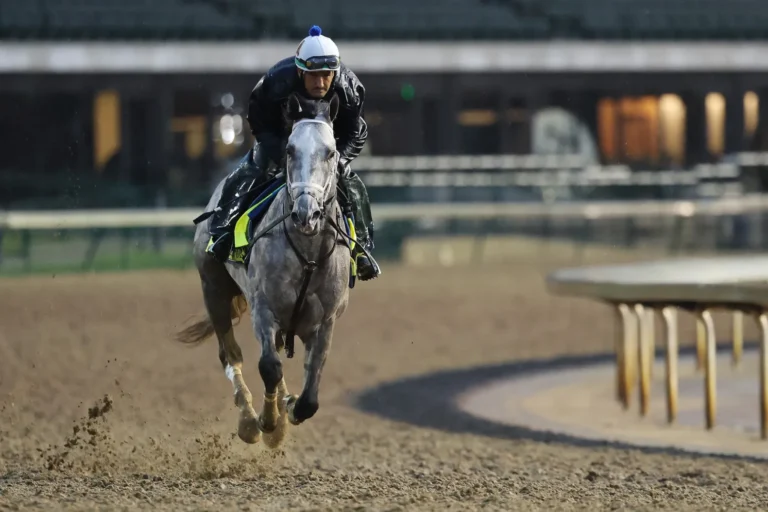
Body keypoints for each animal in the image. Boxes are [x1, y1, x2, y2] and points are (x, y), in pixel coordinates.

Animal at [175, 92, 353, 447]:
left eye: (330, 152)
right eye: (290, 150)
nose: (305, 212)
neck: (307, 254)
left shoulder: (325, 320)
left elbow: (310, 393)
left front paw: (290, 408)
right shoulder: (263, 306)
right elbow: (269, 366)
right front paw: (268, 423)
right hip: (213, 289)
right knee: (231, 355)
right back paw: (248, 419)